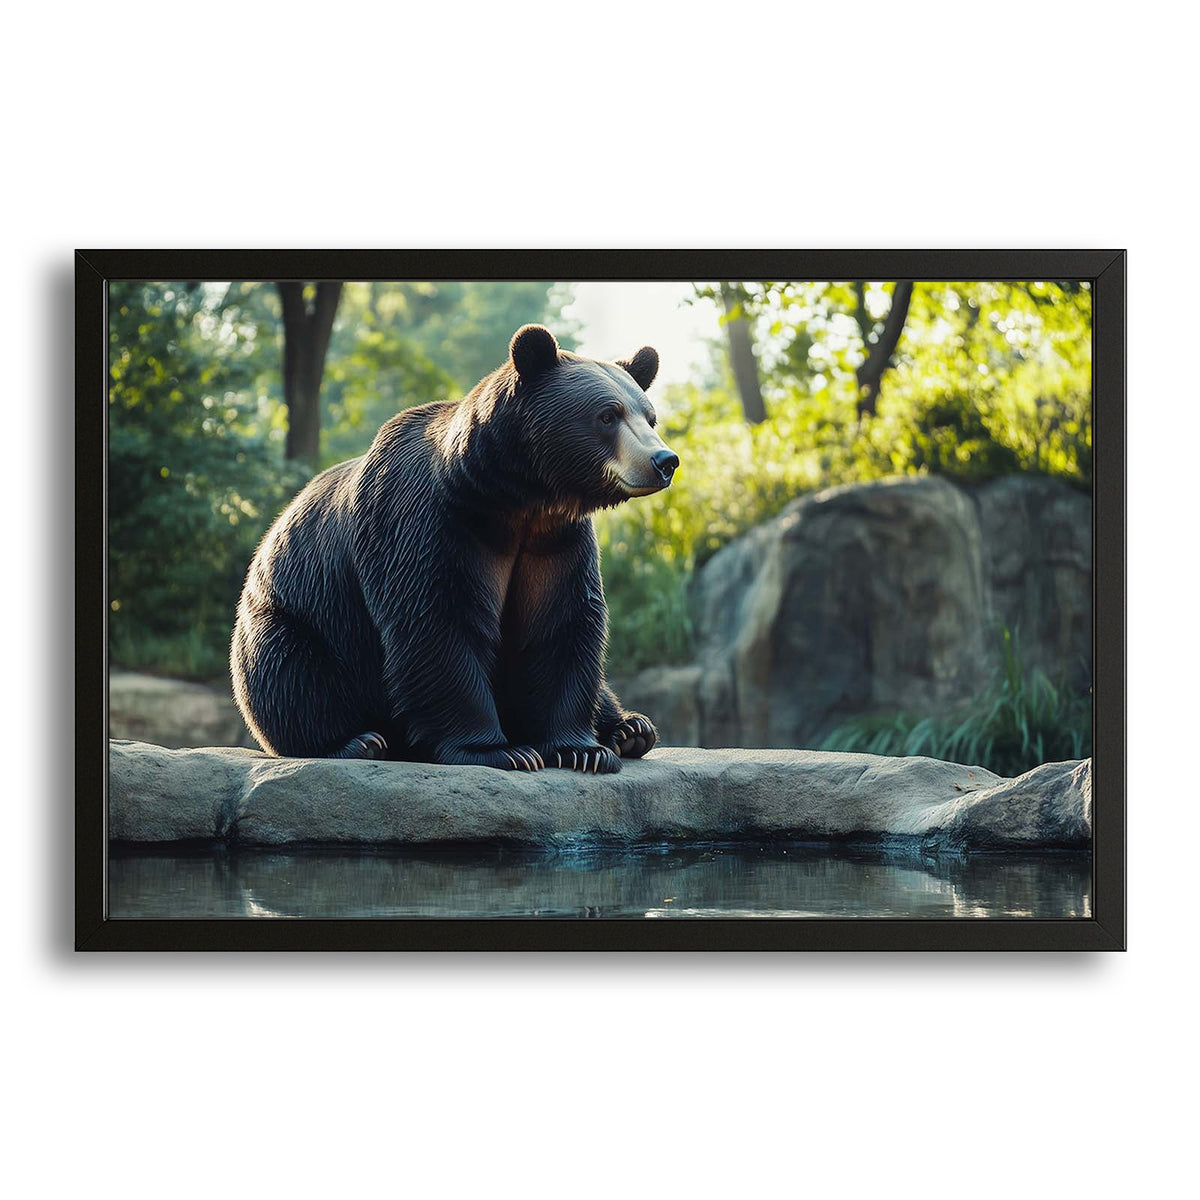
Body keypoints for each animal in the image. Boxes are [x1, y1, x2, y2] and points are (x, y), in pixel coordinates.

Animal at [230, 323, 679, 773]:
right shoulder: (427, 524)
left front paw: (583, 749)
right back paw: (356, 741)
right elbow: (438, 621)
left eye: (649, 416)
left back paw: (630, 728)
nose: (664, 460)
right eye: (607, 415)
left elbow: (561, 622)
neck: (514, 499)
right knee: (292, 674)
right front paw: (503, 750)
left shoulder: (557, 541)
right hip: (300, 618)